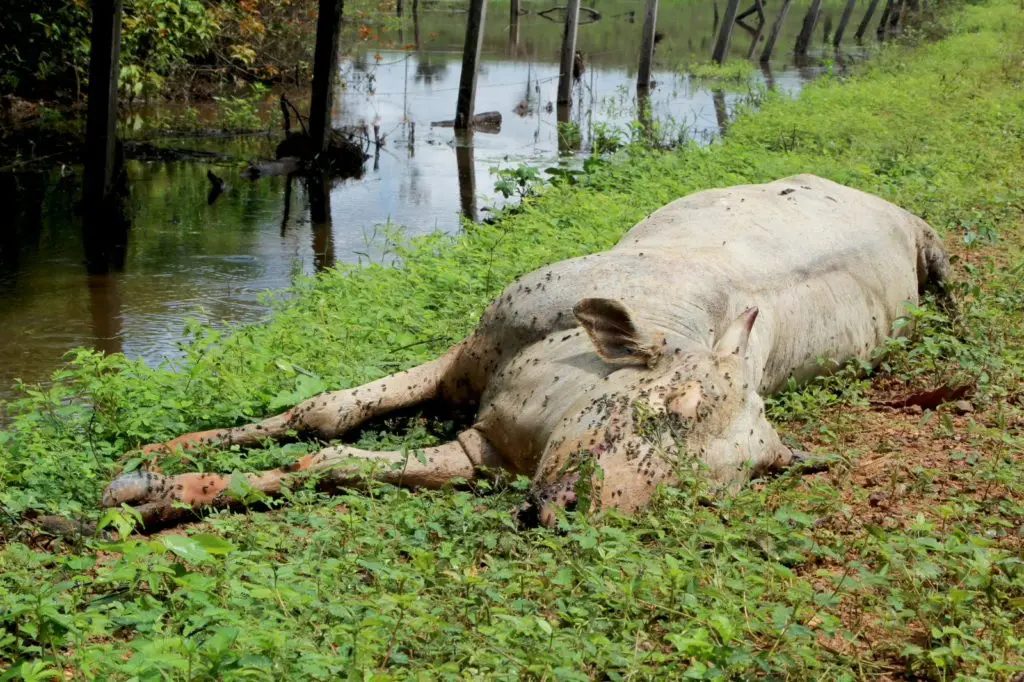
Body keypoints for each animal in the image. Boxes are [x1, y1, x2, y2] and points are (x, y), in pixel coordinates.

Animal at [103, 175, 950, 524]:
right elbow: (326, 415)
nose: (567, 508)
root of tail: (910, 220)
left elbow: (334, 462)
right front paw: (158, 456)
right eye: (669, 406)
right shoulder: (468, 351)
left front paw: (167, 492)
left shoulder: (476, 454)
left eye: (715, 487)